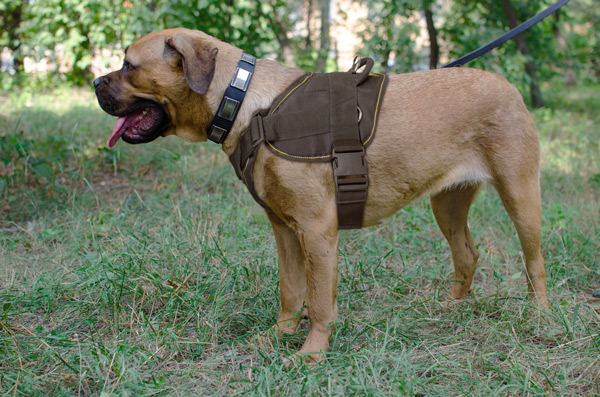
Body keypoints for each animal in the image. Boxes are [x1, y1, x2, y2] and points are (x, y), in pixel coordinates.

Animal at [92, 27, 548, 362]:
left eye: (129, 66)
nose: (95, 81)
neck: (245, 103)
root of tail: (510, 87)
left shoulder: (317, 231)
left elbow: (319, 301)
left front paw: (312, 354)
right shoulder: (285, 229)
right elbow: (291, 291)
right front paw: (278, 336)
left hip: (521, 196)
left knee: (534, 263)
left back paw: (540, 316)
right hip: (447, 203)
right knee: (467, 254)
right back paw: (451, 306)